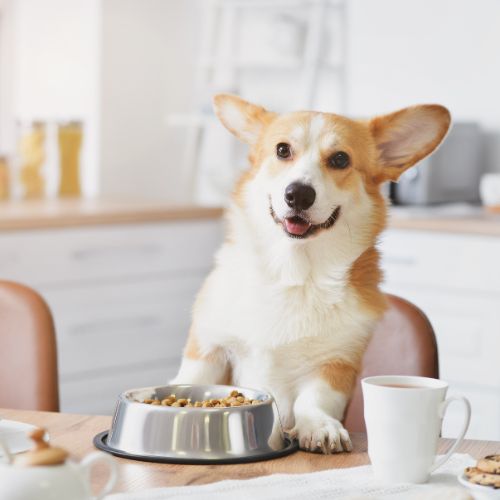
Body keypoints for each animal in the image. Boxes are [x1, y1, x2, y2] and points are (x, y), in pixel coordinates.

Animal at [171, 94, 450, 454]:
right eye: (282, 150)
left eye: (340, 159)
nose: (298, 194)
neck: (292, 273)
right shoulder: (209, 348)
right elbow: (191, 380)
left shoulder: (336, 365)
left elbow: (314, 399)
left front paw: (318, 426)